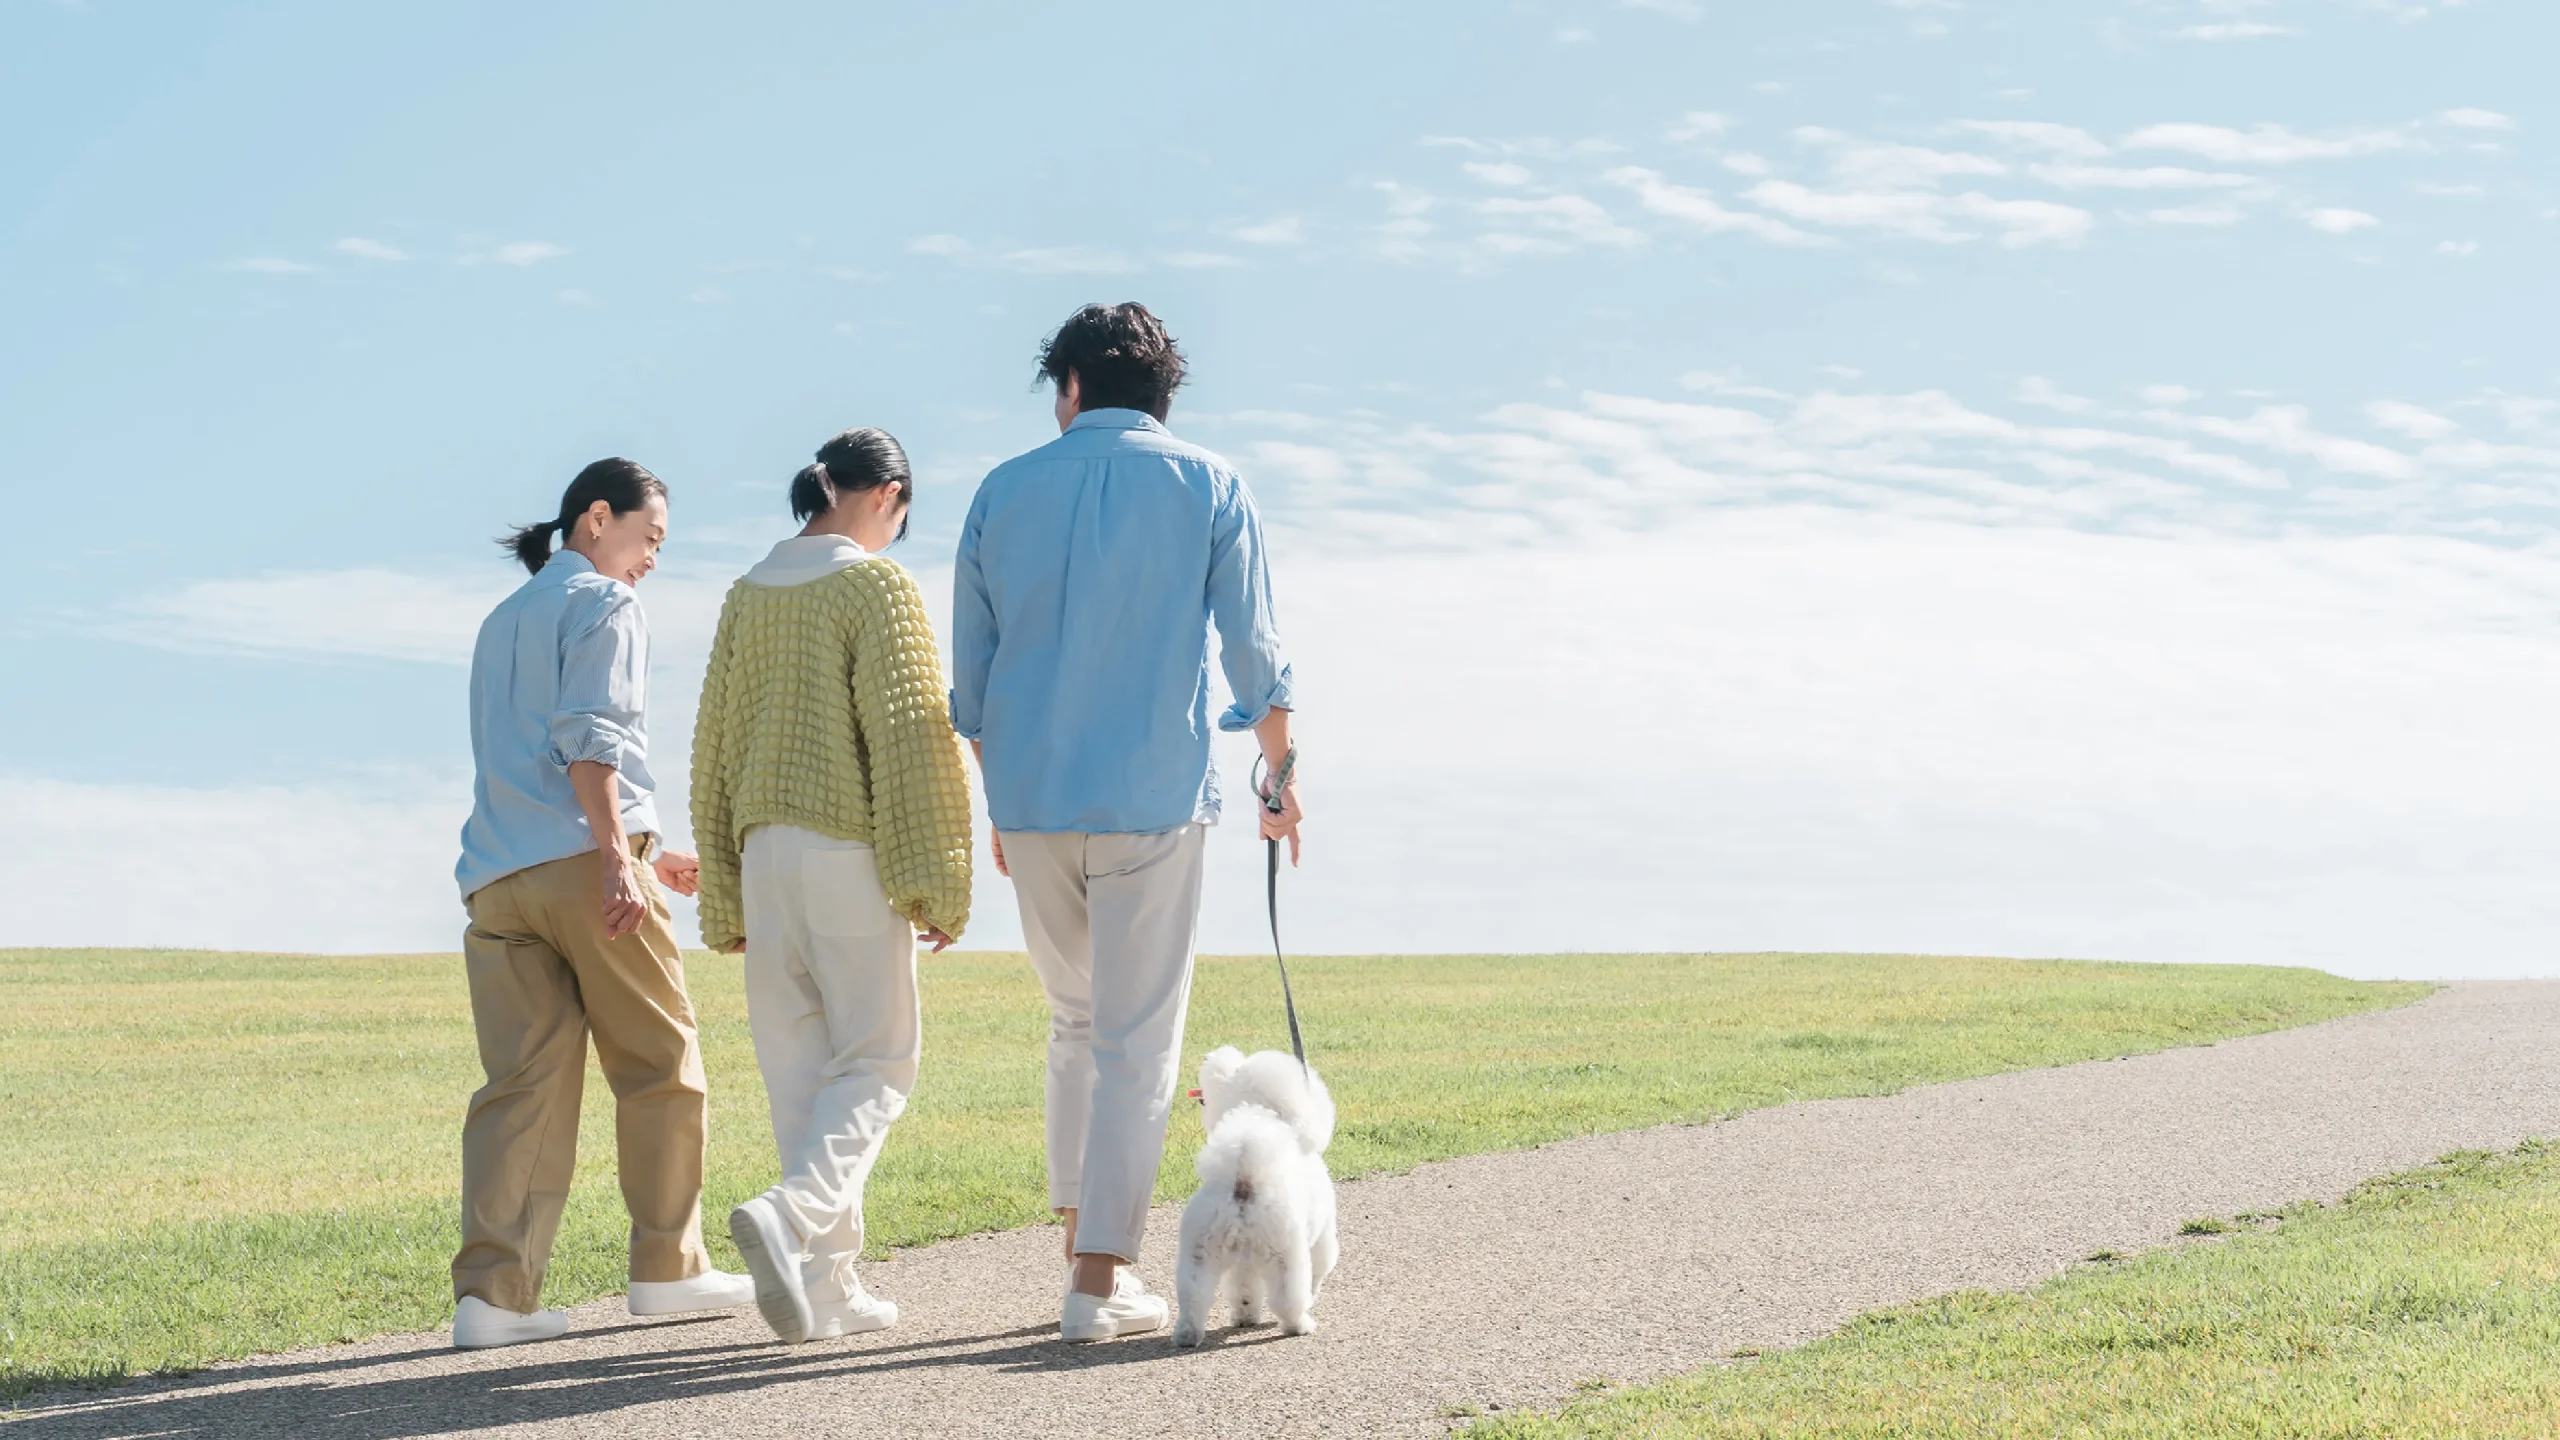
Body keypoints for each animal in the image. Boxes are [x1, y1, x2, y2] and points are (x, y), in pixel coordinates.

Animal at [1172, 1040, 1341, 1332]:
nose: (1207, 1057)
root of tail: (1243, 1180)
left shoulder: (1243, 1265)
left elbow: (1245, 1291)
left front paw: (1245, 1316)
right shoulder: (1323, 1233)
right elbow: (1320, 1269)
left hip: (1200, 1249)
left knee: (1194, 1294)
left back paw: (1188, 1333)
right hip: (1285, 1253)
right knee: (1287, 1298)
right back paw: (1300, 1325)